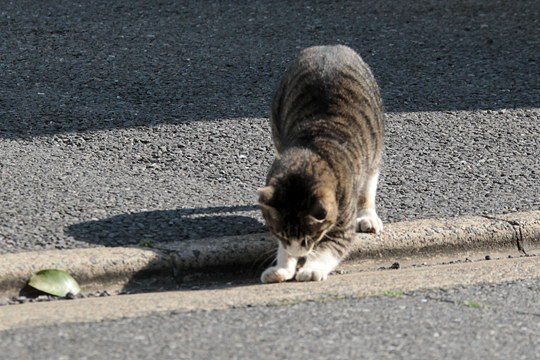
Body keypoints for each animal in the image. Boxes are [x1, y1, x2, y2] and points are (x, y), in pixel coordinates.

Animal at [258, 44, 384, 284]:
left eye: (309, 237)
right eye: (282, 235)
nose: (299, 254)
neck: (311, 150)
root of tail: (330, 46)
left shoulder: (343, 219)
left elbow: (330, 247)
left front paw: (311, 268)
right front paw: (283, 267)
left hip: (375, 146)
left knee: (368, 185)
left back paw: (368, 215)